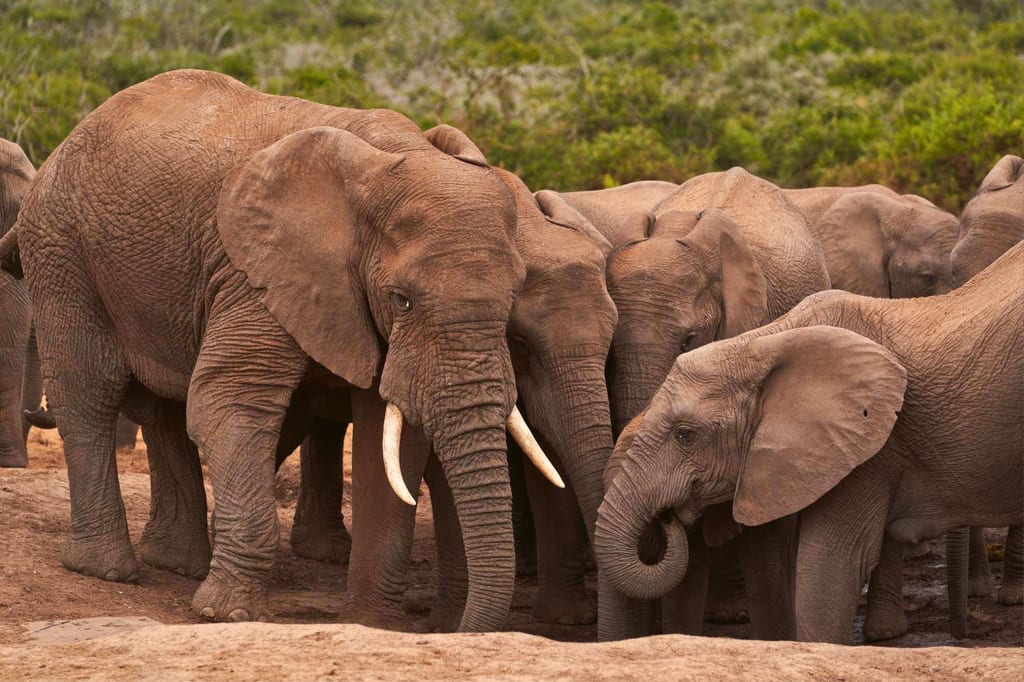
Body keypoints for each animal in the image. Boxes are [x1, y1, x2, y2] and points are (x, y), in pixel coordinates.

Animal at [10, 69, 563, 630]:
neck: (382, 164)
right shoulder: (257, 272)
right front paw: (227, 615)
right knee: (91, 390)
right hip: (61, 249)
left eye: (514, 297)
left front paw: (370, 624)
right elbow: (229, 402)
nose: (454, 628)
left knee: (162, 407)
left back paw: (176, 563)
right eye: (401, 299)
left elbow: (388, 442)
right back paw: (106, 569)